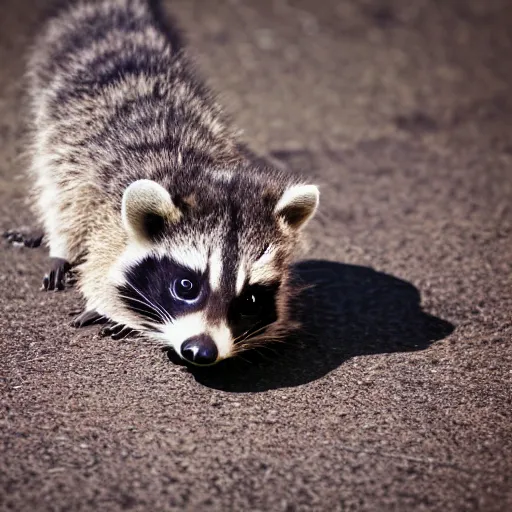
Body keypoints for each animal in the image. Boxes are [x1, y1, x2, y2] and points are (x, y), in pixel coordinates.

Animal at [14, 1, 318, 368]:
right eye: (186, 286)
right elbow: (95, 256)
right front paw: (110, 306)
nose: (201, 351)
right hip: (63, 140)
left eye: (250, 301)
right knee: (57, 192)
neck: (200, 174)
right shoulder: (103, 206)